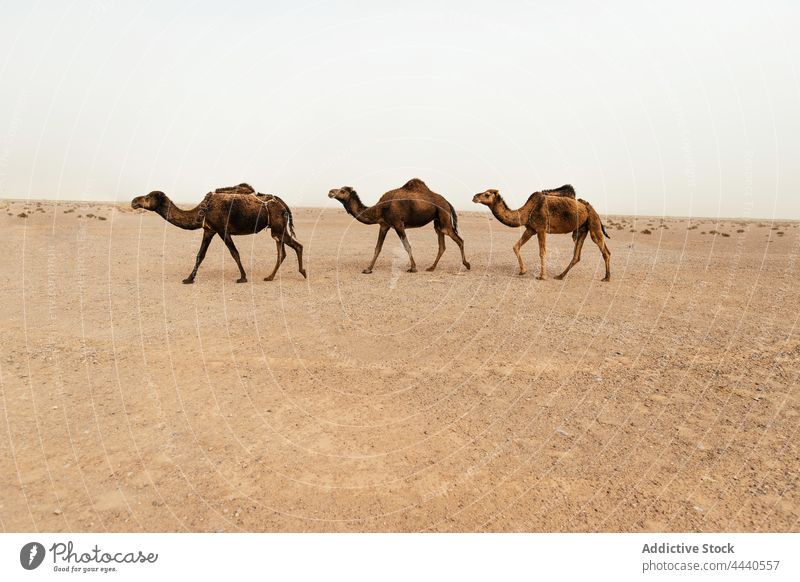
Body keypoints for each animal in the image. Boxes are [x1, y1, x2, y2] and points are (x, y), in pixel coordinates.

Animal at [131, 182, 306, 282]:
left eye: (148, 197)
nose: (134, 201)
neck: (203, 210)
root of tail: (283, 204)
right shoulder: (209, 230)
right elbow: (200, 255)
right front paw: (188, 279)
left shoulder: (222, 229)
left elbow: (234, 253)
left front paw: (242, 278)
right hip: (277, 230)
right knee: (282, 252)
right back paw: (270, 277)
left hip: (278, 227)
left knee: (297, 246)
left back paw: (302, 272)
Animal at [328, 178, 472, 276]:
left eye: (342, 191)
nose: (330, 192)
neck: (380, 209)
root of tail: (447, 202)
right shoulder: (384, 225)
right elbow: (377, 248)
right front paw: (368, 269)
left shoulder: (398, 224)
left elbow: (407, 246)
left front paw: (413, 268)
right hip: (437, 222)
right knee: (442, 244)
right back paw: (431, 267)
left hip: (444, 217)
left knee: (459, 240)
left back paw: (467, 264)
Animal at [472, 185, 608, 280]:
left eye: (487, 194)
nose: (474, 197)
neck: (527, 211)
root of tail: (589, 207)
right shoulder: (531, 229)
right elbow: (516, 246)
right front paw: (523, 271)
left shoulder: (541, 229)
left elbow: (542, 252)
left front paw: (542, 276)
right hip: (582, 229)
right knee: (577, 256)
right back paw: (560, 276)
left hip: (593, 220)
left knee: (603, 249)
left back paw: (607, 278)